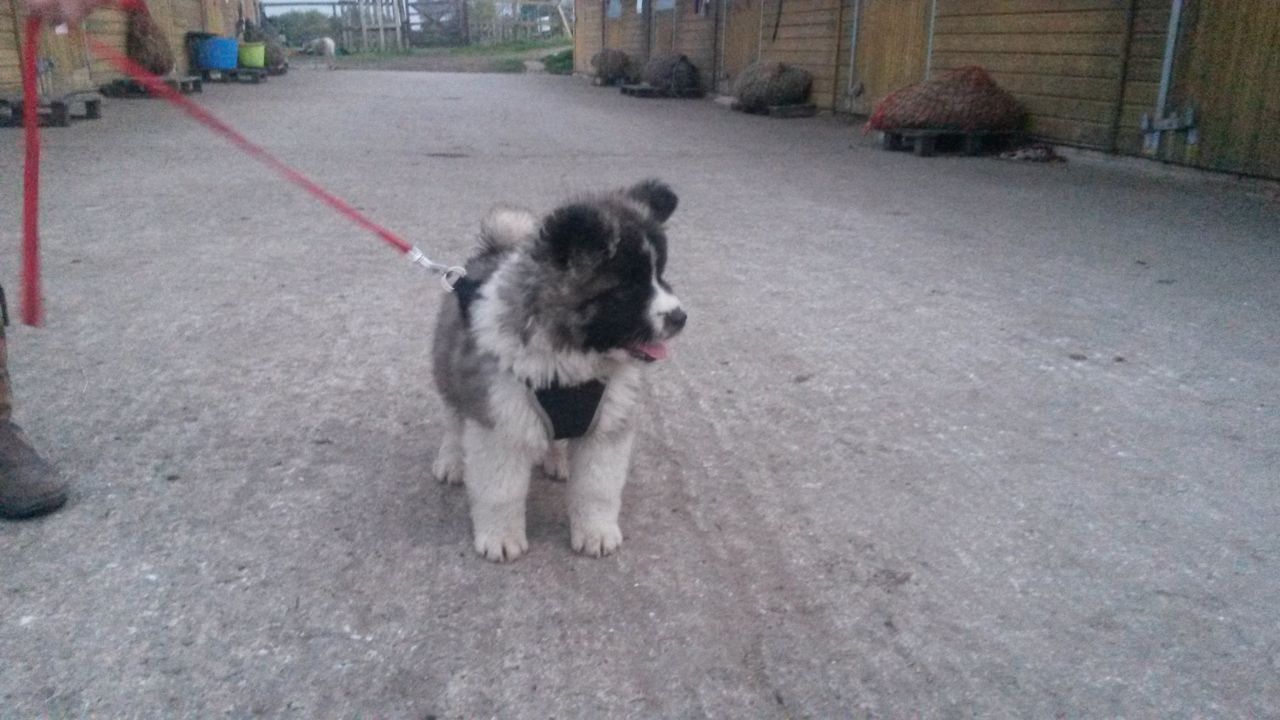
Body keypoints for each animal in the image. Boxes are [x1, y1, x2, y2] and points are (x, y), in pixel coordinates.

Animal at [432, 179, 691, 561]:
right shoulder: (499, 423)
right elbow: (500, 490)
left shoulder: (606, 426)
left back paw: (557, 460)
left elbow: (598, 488)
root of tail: (492, 252)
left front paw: (596, 532)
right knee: (453, 420)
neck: (571, 358)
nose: (679, 318)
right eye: (628, 288)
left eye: (660, 276)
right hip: (452, 373)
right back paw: (451, 461)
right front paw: (500, 537)